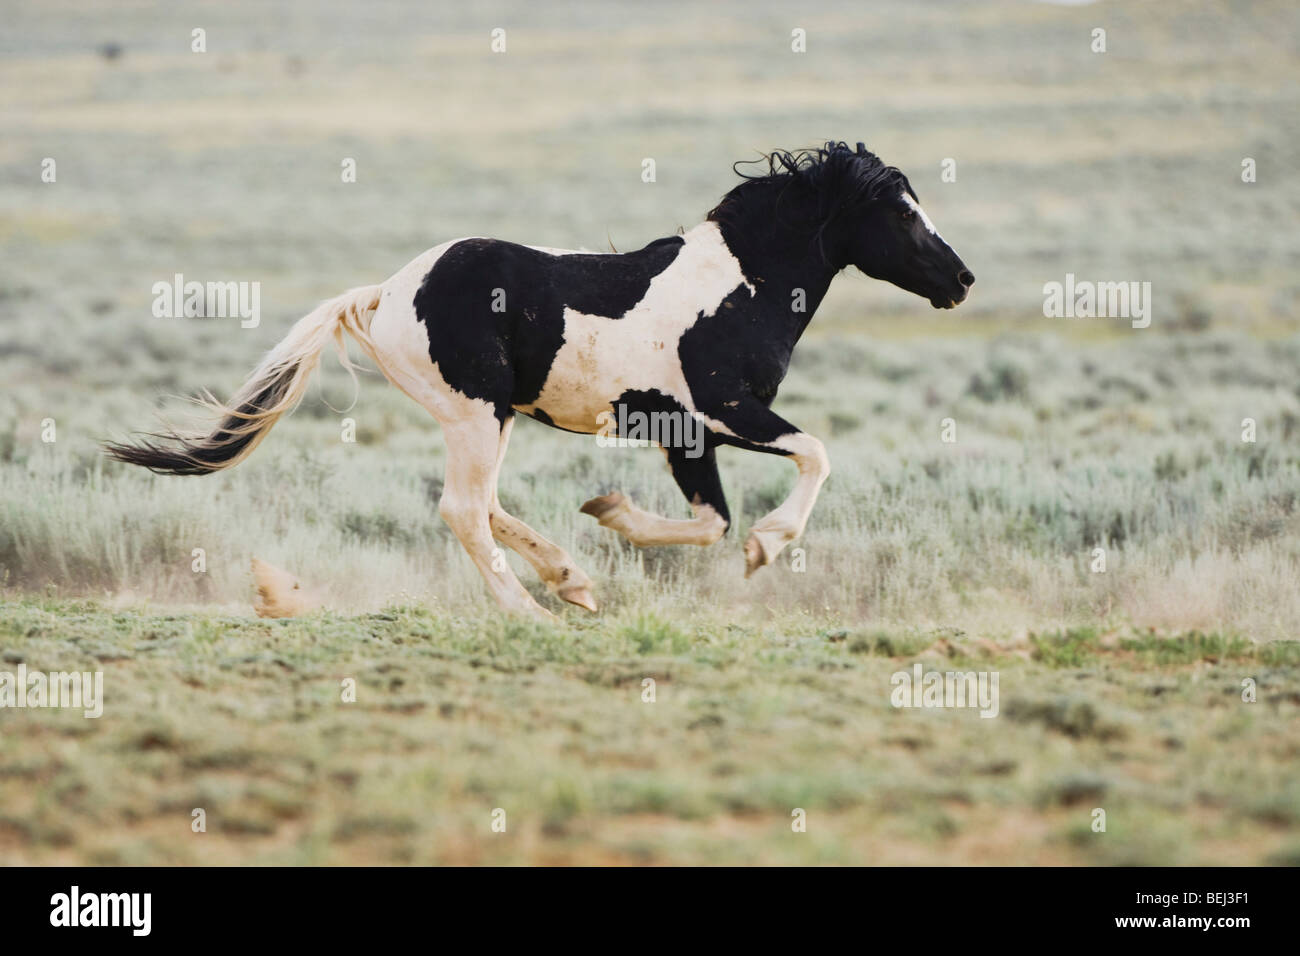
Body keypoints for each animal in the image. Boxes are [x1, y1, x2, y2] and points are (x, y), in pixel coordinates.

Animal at [106, 143, 972, 621]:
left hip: (487, 418)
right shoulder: (724, 409)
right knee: (463, 510)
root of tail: (387, 292)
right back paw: (534, 613)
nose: (960, 280)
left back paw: (572, 580)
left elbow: (709, 522)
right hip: (477, 413)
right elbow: (811, 458)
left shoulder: (685, 434)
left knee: (485, 505)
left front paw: (610, 515)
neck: (739, 287)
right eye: (900, 212)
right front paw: (768, 545)